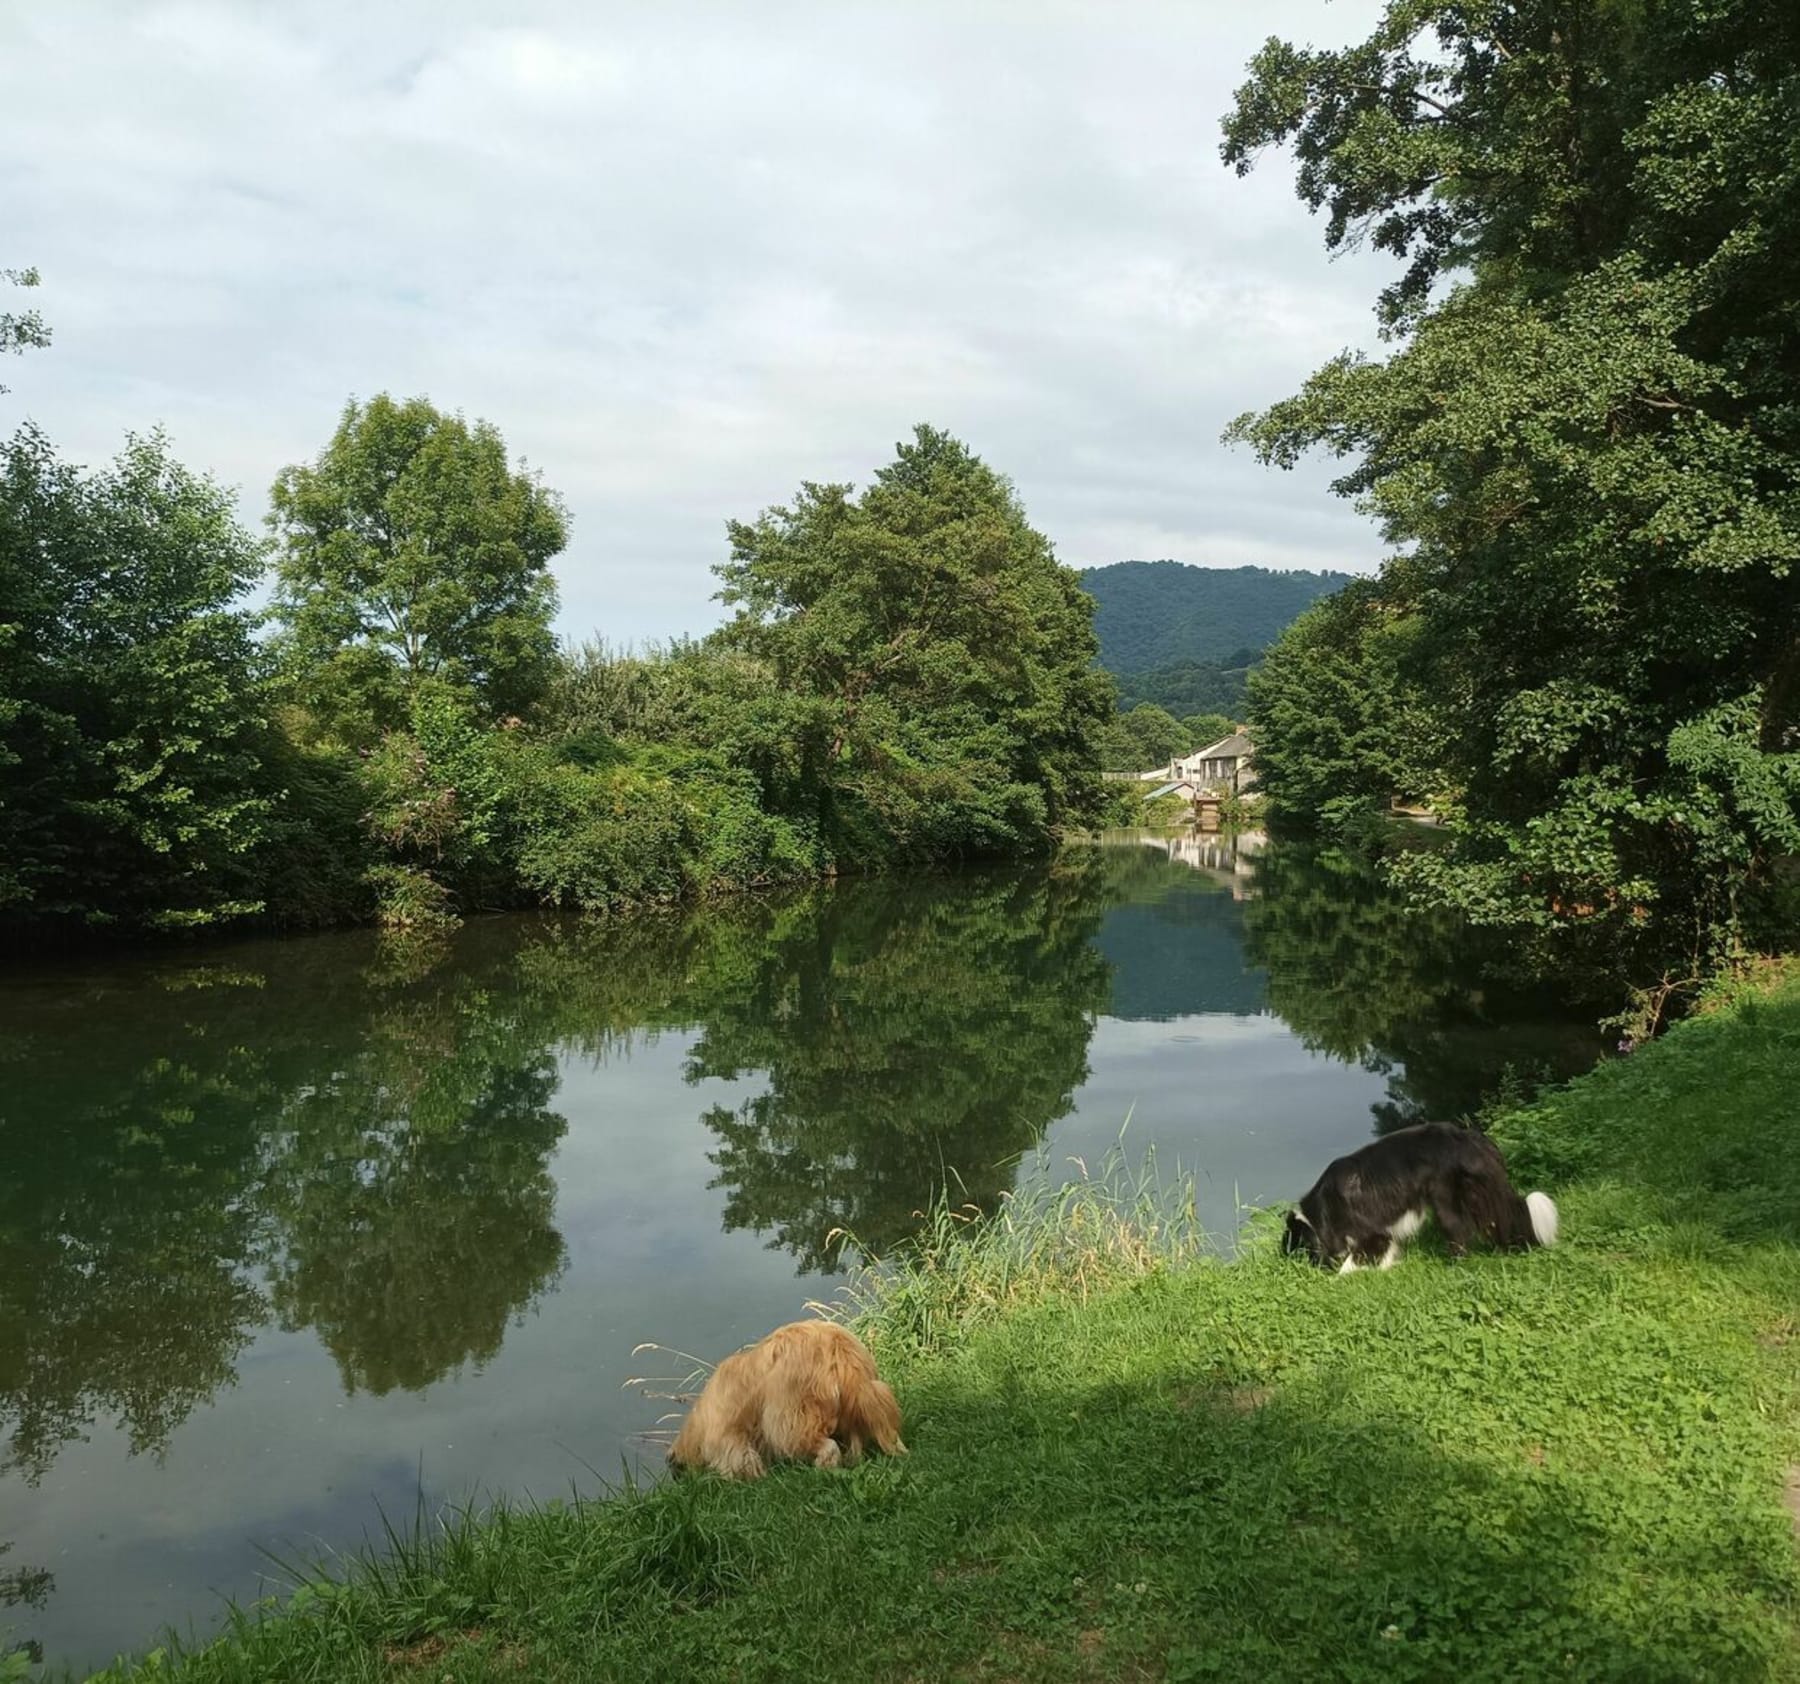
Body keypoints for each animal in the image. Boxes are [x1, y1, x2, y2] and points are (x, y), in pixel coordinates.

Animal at [669, 1316, 907, 1475]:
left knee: (826, 1446)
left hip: (788, 1416)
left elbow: (739, 1458)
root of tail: (838, 1350)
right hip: (855, 1404)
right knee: (853, 1439)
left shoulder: (726, 1436)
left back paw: (822, 1467)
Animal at [1281, 1122, 1562, 1266]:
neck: (1321, 1212)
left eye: (1295, 1246)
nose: (1290, 1264)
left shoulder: (1370, 1229)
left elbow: (1357, 1257)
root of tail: (1470, 1140)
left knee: (1459, 1232)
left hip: (1446, 1199)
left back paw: (1455, 1264)